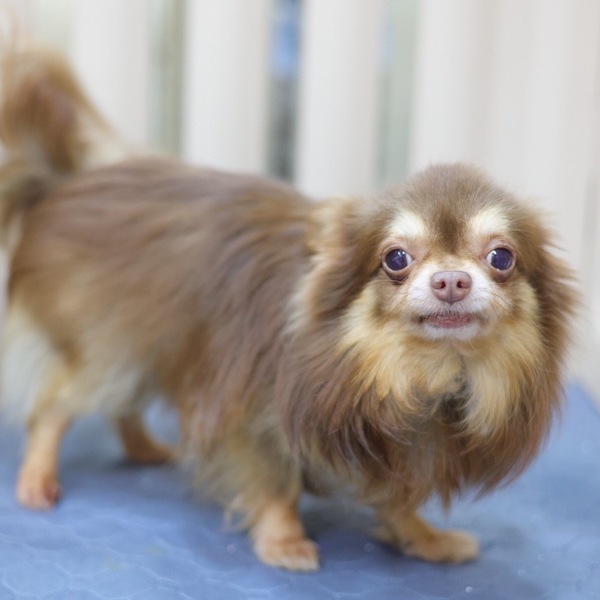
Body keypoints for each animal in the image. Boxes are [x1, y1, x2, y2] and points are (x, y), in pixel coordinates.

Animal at [0, 43, 577, 571]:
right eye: (396, 258)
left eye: (501, 257)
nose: (452, 280)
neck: (420, 375)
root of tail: (61, 186)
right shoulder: (257, 417)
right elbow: (276, 485)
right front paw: (283, 541)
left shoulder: (398, 442)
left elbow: (397, 496)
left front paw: (421, 537)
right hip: (108, 347)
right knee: (55, 405)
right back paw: (38, 476)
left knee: (123, 403)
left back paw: (144, 448)